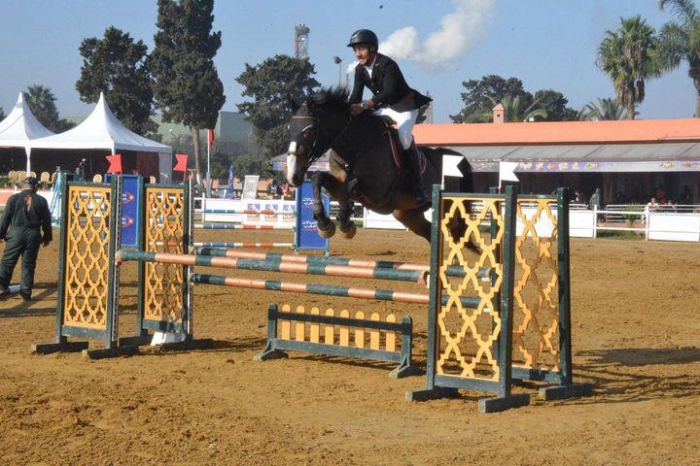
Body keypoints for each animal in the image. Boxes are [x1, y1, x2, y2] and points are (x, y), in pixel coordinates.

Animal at [285, 87, 472, 243]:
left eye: (309, 131)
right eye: (289, 129)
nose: (293, 176)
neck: (356, 148)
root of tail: (457, 158)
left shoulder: (375, 194)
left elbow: (351, 184)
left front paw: (345, 224)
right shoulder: (339, 185)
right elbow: (318, 178)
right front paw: (325, 225)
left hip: (448, 208)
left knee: (456, 231)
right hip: (407, 214)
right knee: (429, 233)